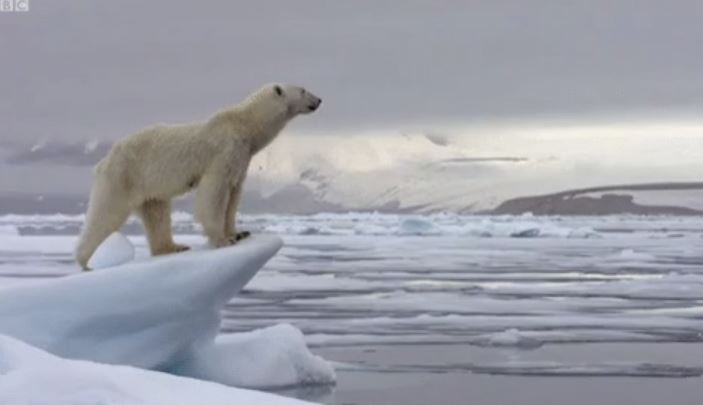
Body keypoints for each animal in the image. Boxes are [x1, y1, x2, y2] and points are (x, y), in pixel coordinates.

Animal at [74, 82, 322, 270]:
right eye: (302, 89)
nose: (319, 100)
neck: (244, 126)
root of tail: (104, 160)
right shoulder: (223, 152)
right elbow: (215, 193)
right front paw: (223, 239)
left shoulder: (241, 159)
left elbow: (233, 196)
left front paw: (239, 233)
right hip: (124, 175)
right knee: (106, 213)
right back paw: (86, 260)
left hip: (149, 185)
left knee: (157, 213)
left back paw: (173, 247)